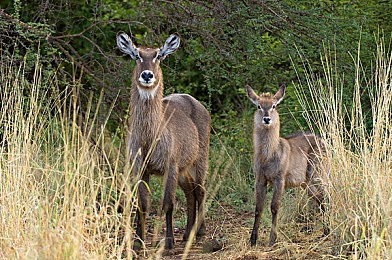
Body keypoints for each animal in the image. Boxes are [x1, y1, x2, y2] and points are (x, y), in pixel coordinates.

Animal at [115, 32, 210, 250]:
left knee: (200, 190)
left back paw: (199, 232)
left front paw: (169, 241)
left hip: (199, 160)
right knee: (190, 193)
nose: (147, 75)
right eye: (137, 55)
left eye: (158, 55)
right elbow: (142, 204)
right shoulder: (140, 167)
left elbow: (168, 204)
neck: (148, 139)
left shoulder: (170, 166)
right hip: (184, 169)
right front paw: (138, 241)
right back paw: (187, 233)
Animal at [247, 85, 330, 246]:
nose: (267, 119)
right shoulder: (260, 179)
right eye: (259, 106)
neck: (268, 156)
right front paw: (253, 239)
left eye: (273, 106)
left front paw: (272, 239)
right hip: (306, 183)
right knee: (319, 199)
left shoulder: (280, 179)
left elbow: (274, 207)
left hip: (318, 174)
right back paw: (325, 232)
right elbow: (258, 208)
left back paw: (328, 231)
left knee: (327, 196)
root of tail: (323, 141)